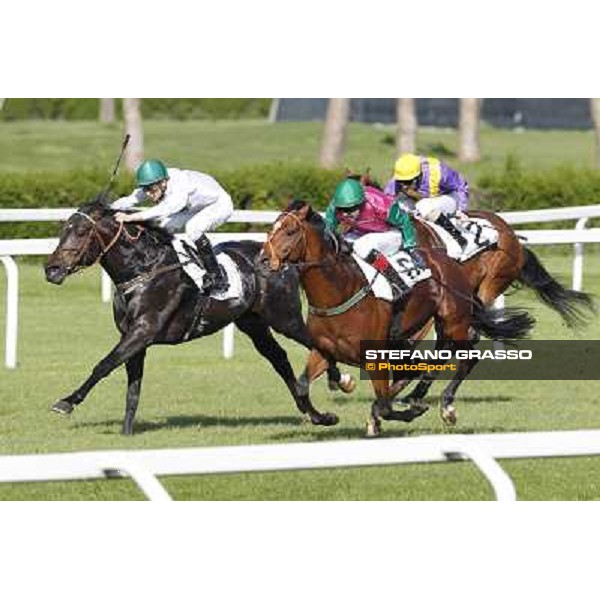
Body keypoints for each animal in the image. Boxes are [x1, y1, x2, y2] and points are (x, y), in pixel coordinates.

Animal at [45, 197, 352, 436]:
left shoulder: (143, 330)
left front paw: (67, 401)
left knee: (314, 342)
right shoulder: (134, 337)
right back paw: (317, 414)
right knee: (279, 358)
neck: (143, 269)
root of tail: (282, 261)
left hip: (284, 318)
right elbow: (133, 386)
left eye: (82, 231)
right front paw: (127, 432)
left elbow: (104, 365)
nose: (51, 269)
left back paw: (340, 379)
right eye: (63, 229)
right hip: (253, 323)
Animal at [260, 202, 532, 436]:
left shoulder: (375, 357)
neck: (340, 290)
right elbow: (302, 388)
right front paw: (326, 417)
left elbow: (385, 406)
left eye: (290, 231)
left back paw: (445, 406)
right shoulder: (324, 351)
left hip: (454, 322)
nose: (262, 260)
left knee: (466, 356)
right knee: (423, 363)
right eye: (271, 229)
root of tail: (447, 260)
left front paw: (408, 411)